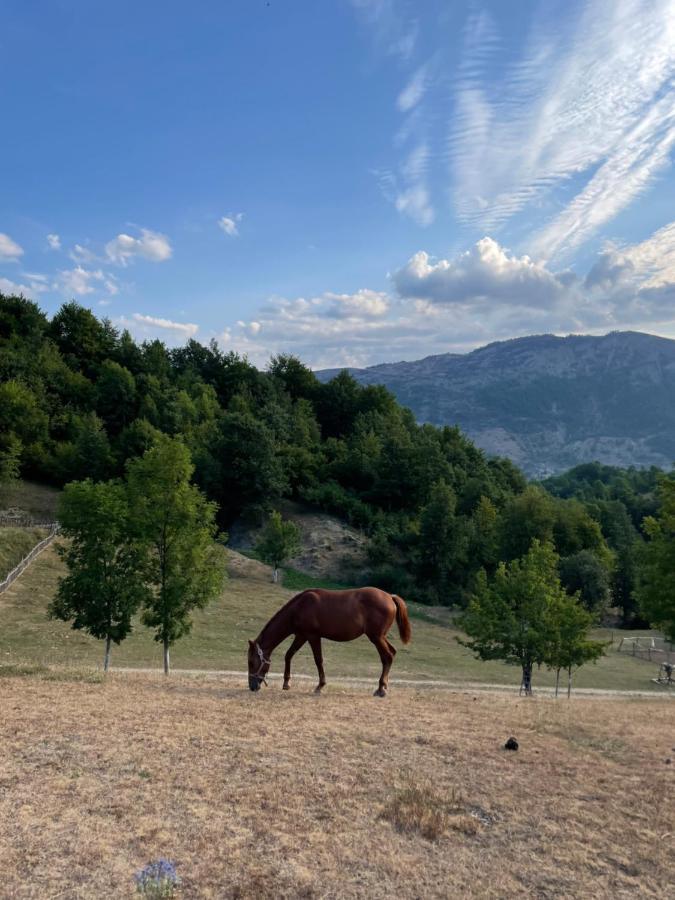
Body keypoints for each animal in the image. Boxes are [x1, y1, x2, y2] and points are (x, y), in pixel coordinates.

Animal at [248, 588, 412, 700]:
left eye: (251, 663)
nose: (252, 686)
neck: (299, 607)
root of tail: (390, 597)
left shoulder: (312, 636)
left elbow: (318, 660)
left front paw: (320, 686)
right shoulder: (301, 636)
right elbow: (289, 655)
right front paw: (286, 683)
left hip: (376, 637)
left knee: (387, 656)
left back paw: (381, 689)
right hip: (380, 637)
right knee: (392, 653)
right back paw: (384, 686)